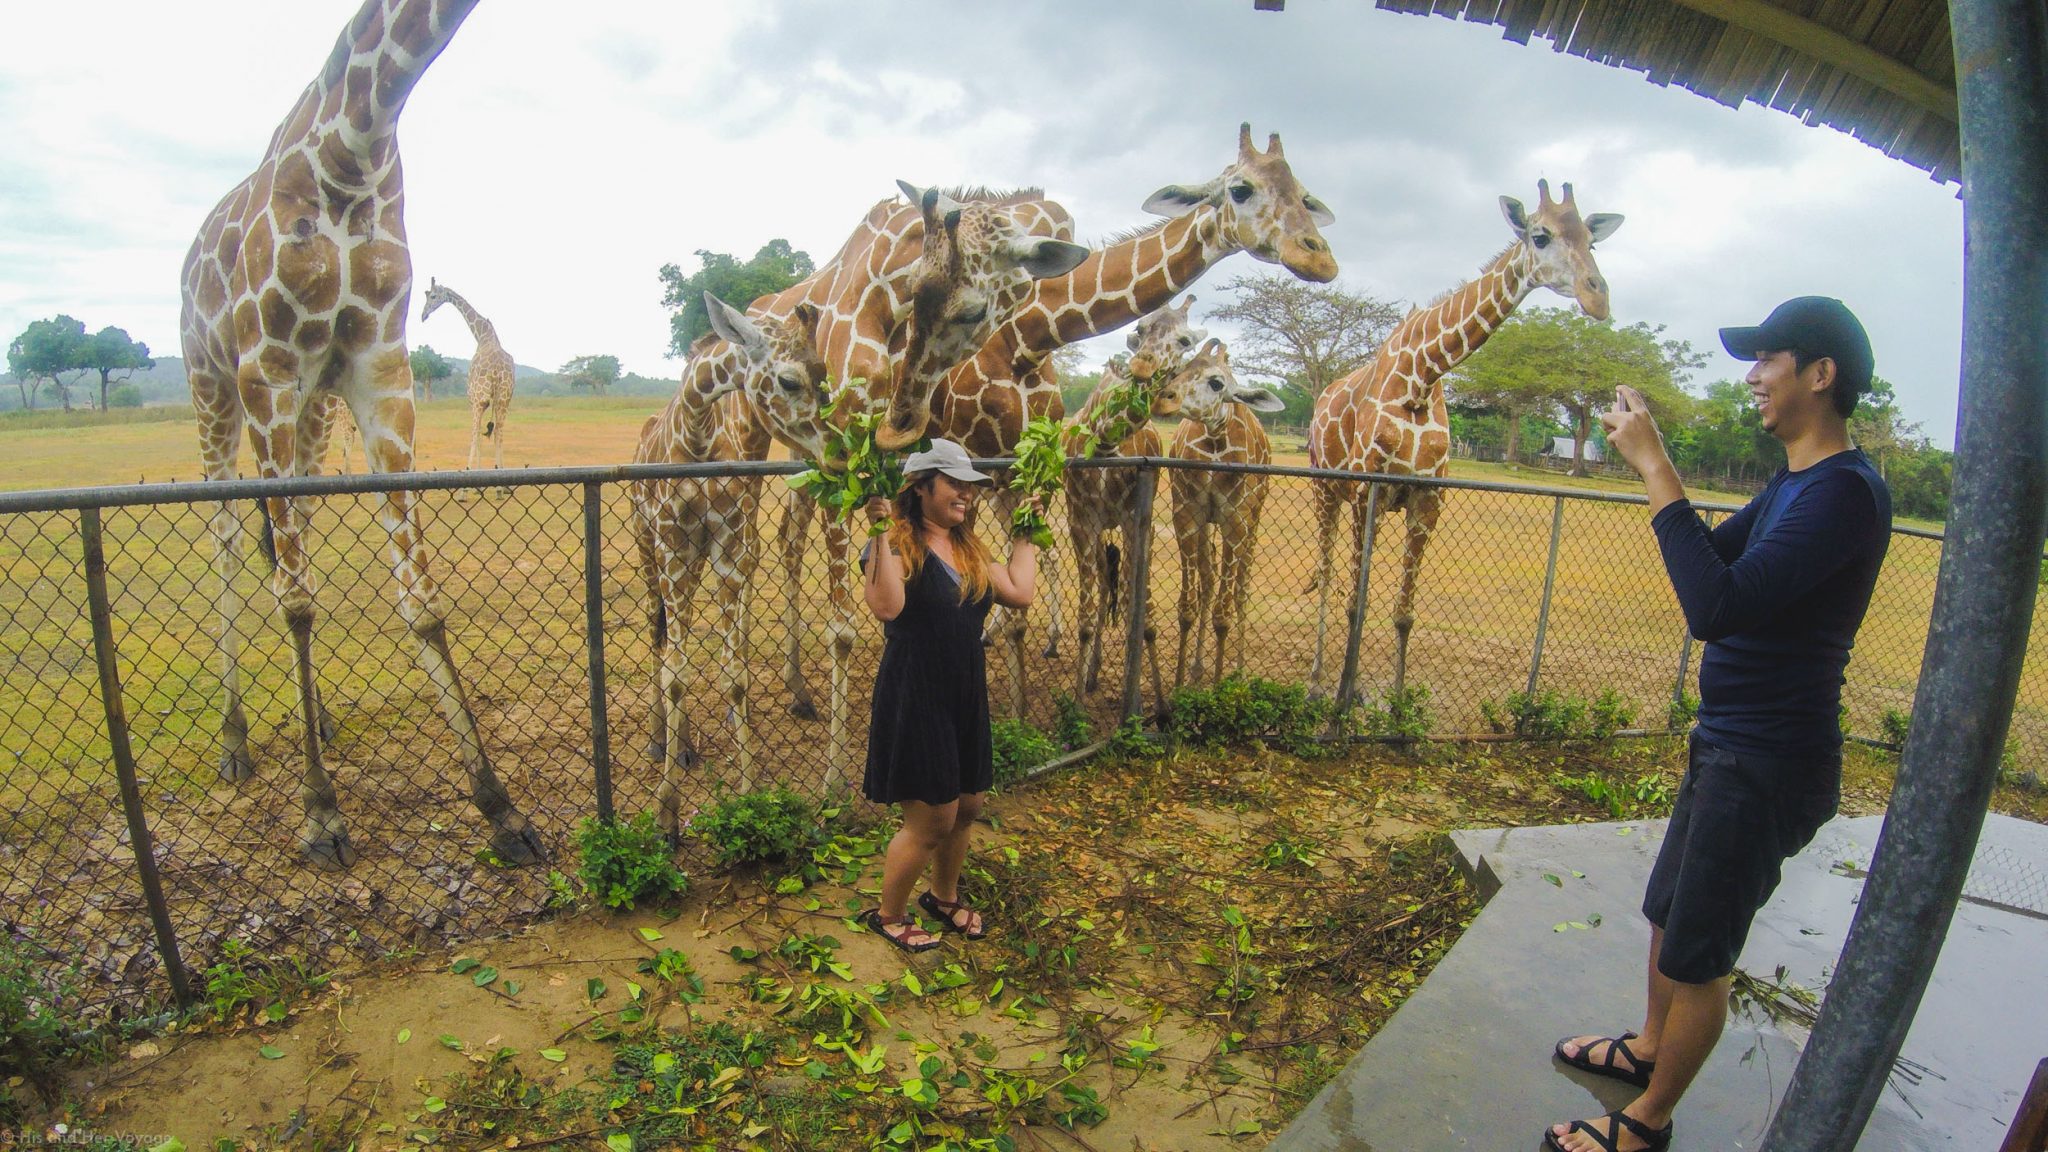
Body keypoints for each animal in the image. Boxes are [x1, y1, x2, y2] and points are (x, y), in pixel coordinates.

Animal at [420, 278, 515, 471]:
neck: (483, 335)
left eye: (432, 296)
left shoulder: (475, 398)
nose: (423, 315)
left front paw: (475, 468)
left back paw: (469, 469)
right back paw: (501, 474)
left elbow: (476, 433)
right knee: (499, 431)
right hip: (504, 399)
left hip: (479, 400)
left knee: (475, 431)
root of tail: (496, 372)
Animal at [631, 294, 830, 840]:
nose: (835, 450)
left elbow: (734, 674)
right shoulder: (673, 546)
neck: (698, 434)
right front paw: (666, 813)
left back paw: (683, 745)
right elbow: (676, 675)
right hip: (648, 549)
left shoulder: (724, 550)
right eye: (789, 380)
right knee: (656, 636)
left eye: (824, 373)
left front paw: (749, 794)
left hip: (694, 561)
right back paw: (662, 741)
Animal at [1063, 296, 1203, 701]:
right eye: (1140, 327)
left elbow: (1135, 608)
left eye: (1185, 340)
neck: (1104, 442)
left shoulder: (1134, 519)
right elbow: (1087, 614)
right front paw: (1075, 703)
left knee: (1124, 594)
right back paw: (1091, 677)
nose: (1143, 365)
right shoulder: (1081, 521)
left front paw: (1153, 702)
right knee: (1103, 588)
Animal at [1166, 340, 1286, 689]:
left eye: (1217, 383)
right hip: (1208, 523)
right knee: (1208, 579)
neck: (1216, 442)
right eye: (1180, 370)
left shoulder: (1236, 519)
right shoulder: (1187, 514)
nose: (1167, 396)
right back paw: (1197, 670)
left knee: (1242, 586)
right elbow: (1187, 605)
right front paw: (1179, 683)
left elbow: (1224, 612)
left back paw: (1239, 671)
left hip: (1254, 518)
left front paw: (1221, 687)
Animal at [1305, 180, 1624, 697]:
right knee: (1328, 573)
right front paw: (1341, 698)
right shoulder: (1366, 490)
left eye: (1591, 243)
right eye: (1540, 236)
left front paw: (1396, 705)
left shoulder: (1426, 500)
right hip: (1324, 486)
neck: (1421, 376)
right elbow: (1357, 603)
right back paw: (1316, 682)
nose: (1598, 299)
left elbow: (1403, 614)